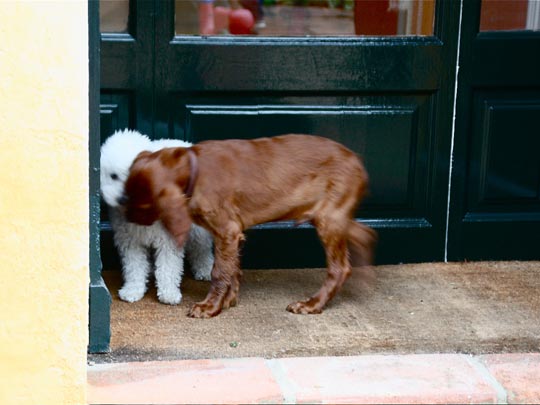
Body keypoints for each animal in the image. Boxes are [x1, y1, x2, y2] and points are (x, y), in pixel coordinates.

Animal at [100, 129, 214, 304]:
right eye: (113, 176)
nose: (122, 199)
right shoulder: (131, 241)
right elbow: (134, 267)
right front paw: (133, 290)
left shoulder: (169, 240)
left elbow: (168, 267)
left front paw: (168, 293)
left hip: (197, 228)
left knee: (202, 248)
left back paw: (206, 269)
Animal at [122, 134, 376, 318]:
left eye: (144, 205)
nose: (127, 218)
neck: (195, 168)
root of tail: (358, 162)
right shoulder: (231, 234)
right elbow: (231, 268)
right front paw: (229, 300)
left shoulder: (227, 230)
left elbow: (219, 271)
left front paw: (210, 307)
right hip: (331, 217)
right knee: (366, 234)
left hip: (329, 219)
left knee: (339, 268)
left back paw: (311, 304)